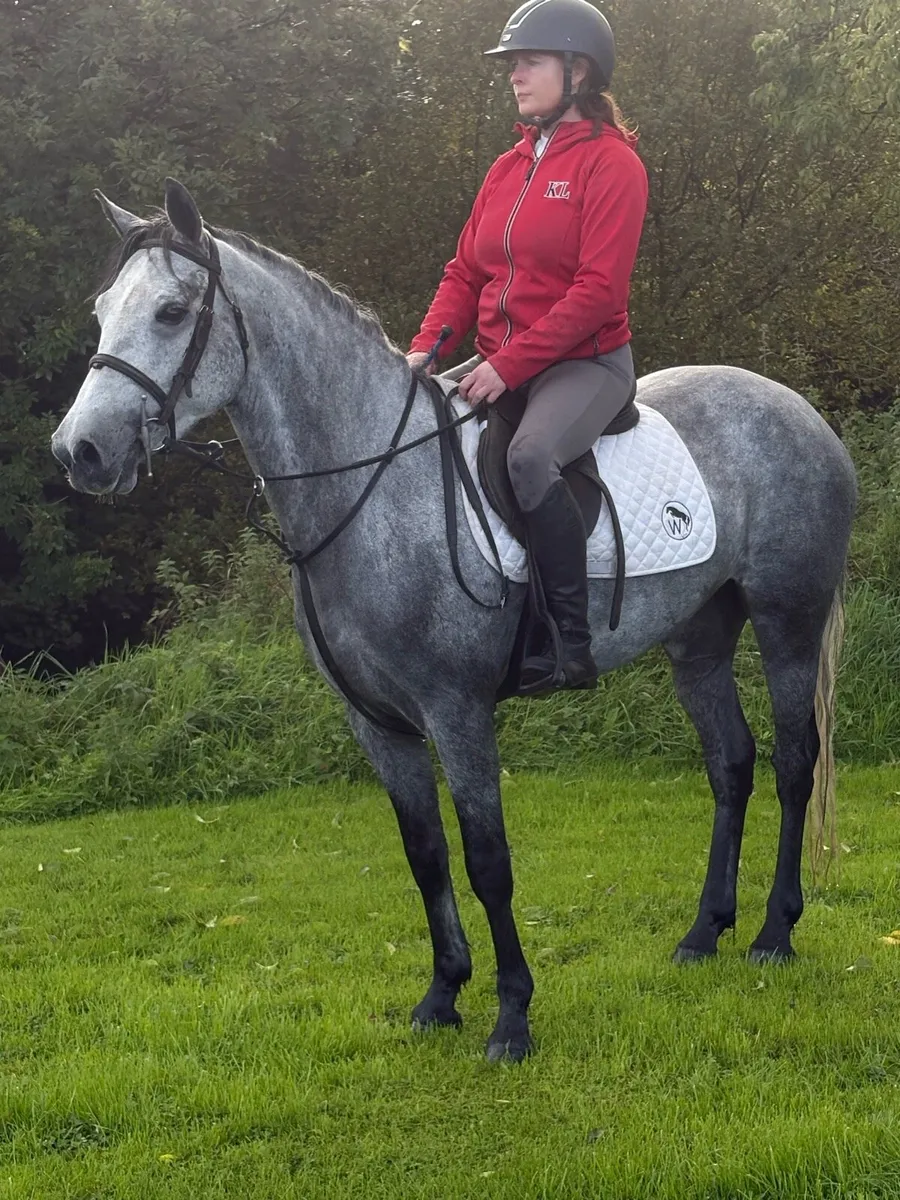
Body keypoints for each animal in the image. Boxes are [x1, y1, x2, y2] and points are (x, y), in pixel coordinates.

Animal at [51, 180, 856, 1062]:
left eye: (169, 312)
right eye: (102, 310)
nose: (78, 451)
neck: (371, 485)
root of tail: (798, 409)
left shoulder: (457, 712)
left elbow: (487, 859)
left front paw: (512, 1016)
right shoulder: (379, 724)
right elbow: (426, 854)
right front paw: (442, 994)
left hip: (787, 620)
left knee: (794, 763)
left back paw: (774, 934)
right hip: (699, 640)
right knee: (730, 765)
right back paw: (704, 932)